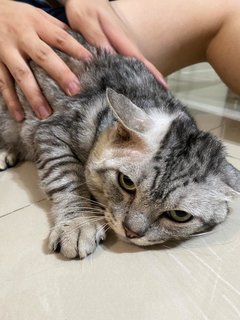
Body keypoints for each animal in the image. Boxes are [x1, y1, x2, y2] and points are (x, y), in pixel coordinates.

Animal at [0, 31, 240, 258]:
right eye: (126, 182)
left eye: (180, 215)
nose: (131, 231)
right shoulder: (51, 130)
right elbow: (66, 177)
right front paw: (79, 222)